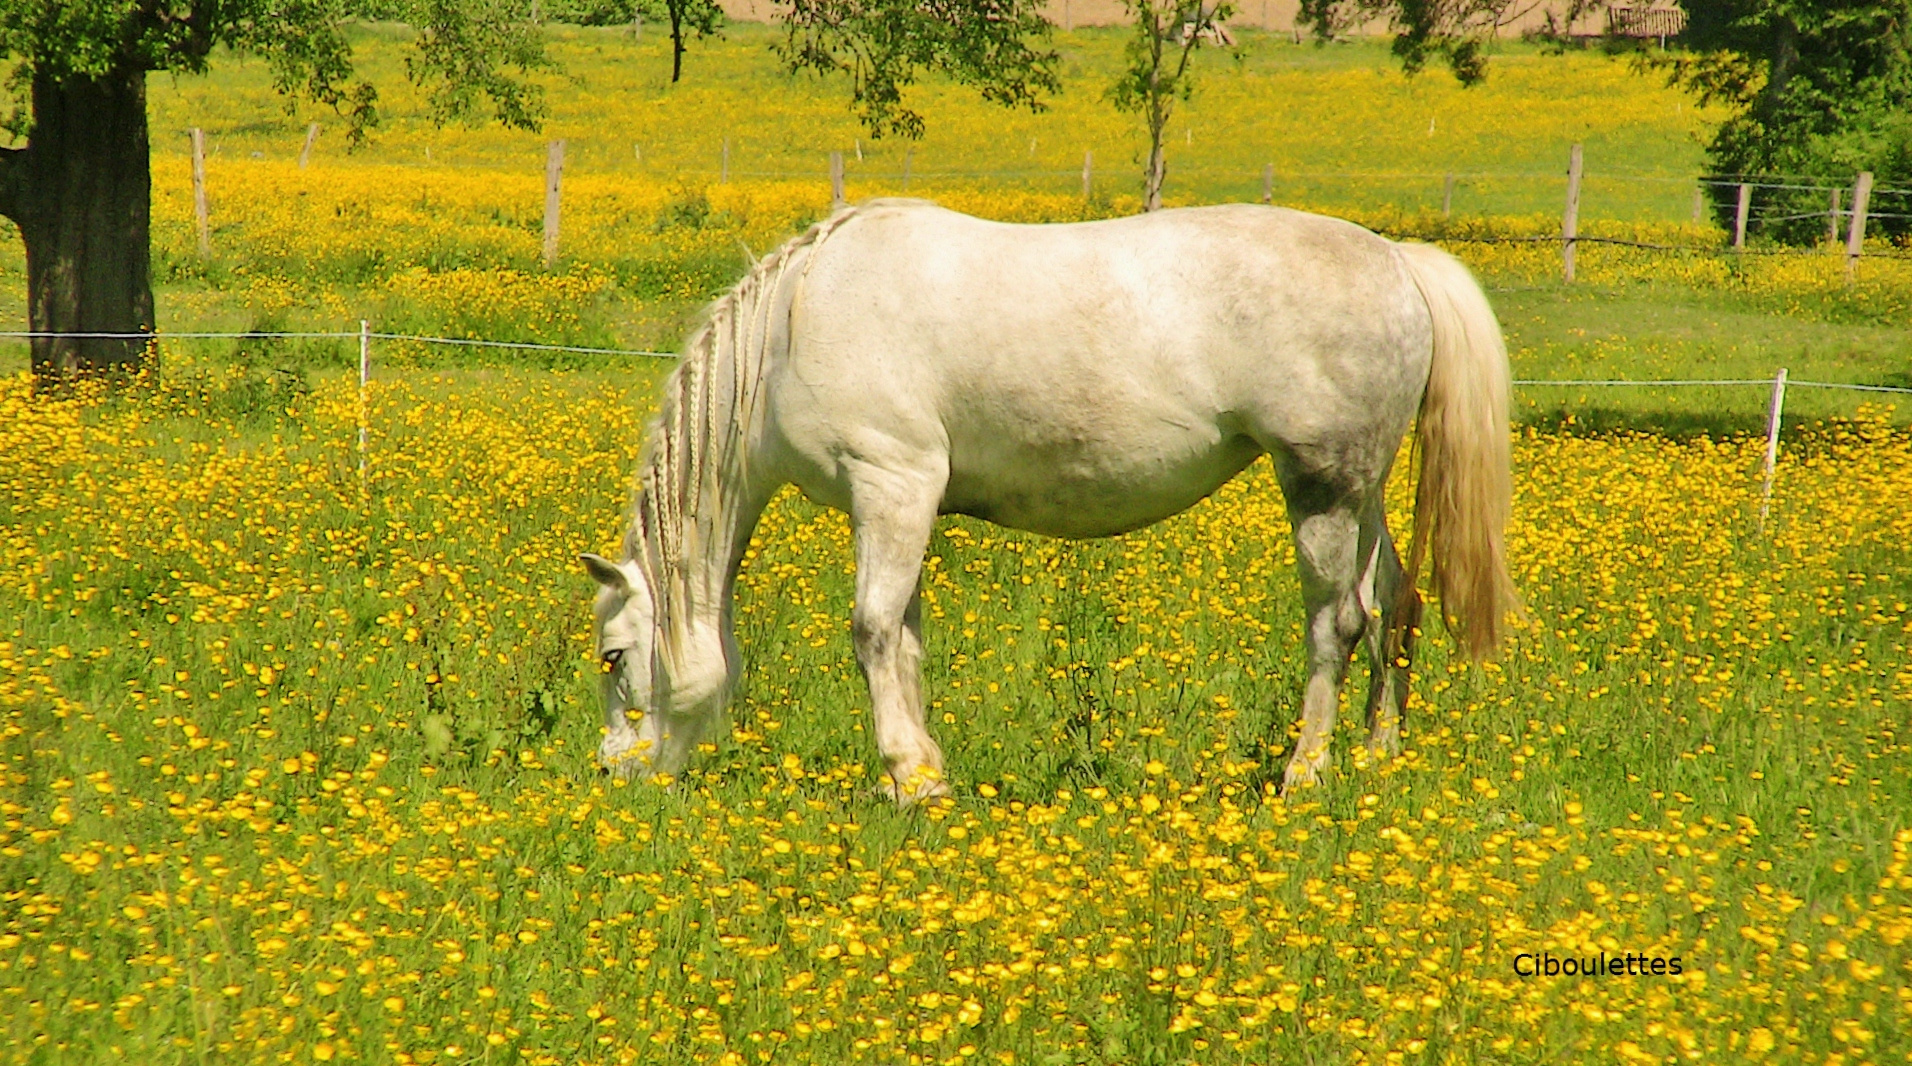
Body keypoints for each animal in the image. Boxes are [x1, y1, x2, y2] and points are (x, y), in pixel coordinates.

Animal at [573, 200, 1514, 802]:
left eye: (614, 658)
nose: (614, 774)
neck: (791, 330)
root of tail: (1399, 260)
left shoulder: (891, 484)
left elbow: (871, 631)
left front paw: (907, 775)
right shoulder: (908, 505)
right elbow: (905, 641)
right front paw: (928, 776)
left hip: (1321, 488)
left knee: (1337, 624)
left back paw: (1305, 773)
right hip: (1364, 490)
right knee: (1394, 602)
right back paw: (1377, 756)